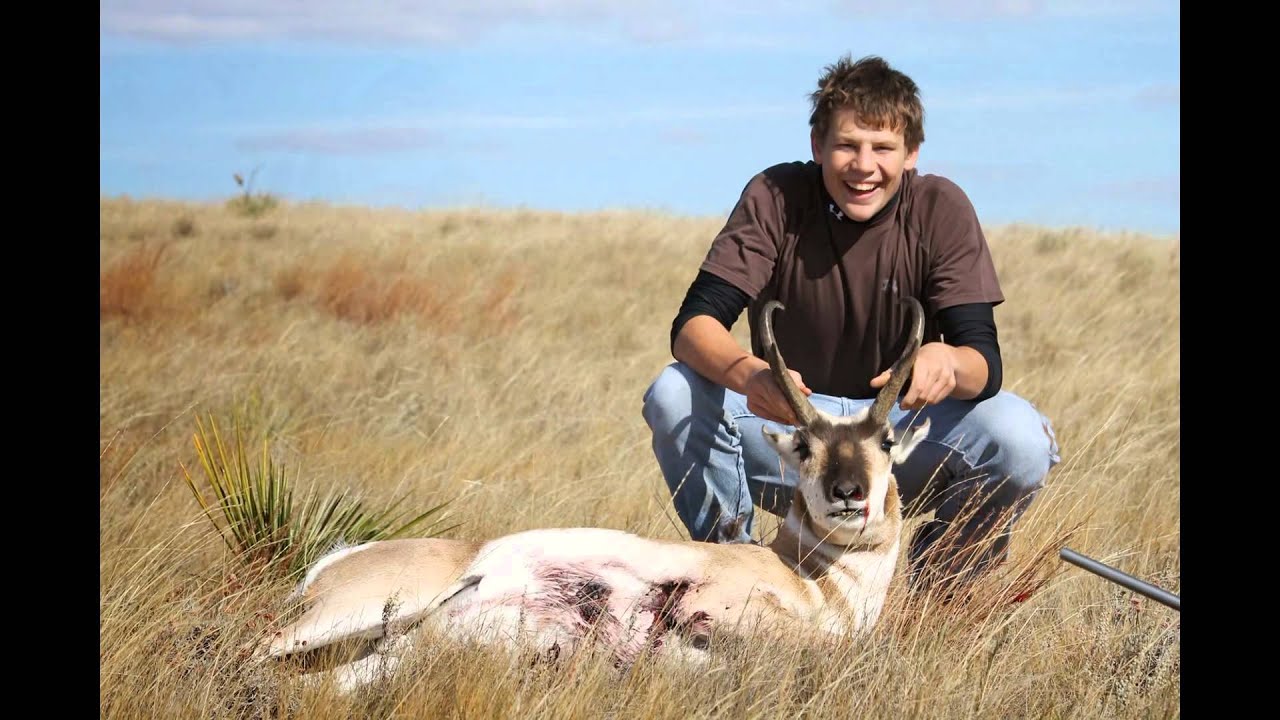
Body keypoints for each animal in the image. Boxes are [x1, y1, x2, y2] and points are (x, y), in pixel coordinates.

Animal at [258, 297, 930, 692]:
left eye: (886, 439)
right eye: (805, 446)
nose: (848, 494)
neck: (813, 581)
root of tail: (333, 564)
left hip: (388, 652)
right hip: (347, 617)